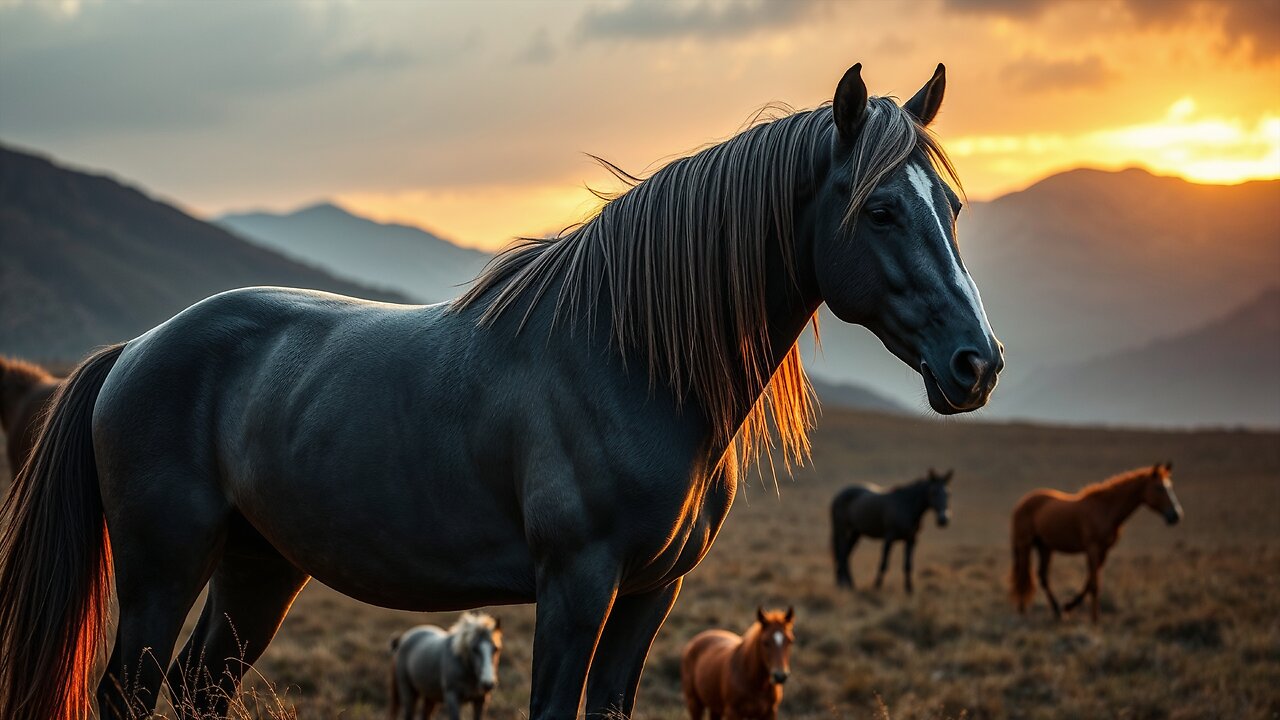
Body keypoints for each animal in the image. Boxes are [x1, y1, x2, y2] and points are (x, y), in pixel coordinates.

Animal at [0, 61, 1003, 720]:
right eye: (881, 209)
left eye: (952, 209)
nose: (978, 363)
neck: (629, 366)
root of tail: (137, 349)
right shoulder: (574, 588)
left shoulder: (650, 596)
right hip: (162, 569)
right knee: (130, 691)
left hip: (258, 566)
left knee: (201, 689)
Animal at [1010, 463, 1182, 623]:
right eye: (1159, 488)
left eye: (1171, 486)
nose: (1176, 515)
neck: (1106, 509)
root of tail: (1021, 503)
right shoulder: (1092, 548)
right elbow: (1094, 584)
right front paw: (1094, 619)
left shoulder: (1104, 550)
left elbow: (1091, 580)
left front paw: (1069, 606)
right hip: (1025, 544)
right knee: (1023, 575)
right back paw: (1022, 609)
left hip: (1045, 546)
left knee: (1042, 577)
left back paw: (1057, 610)